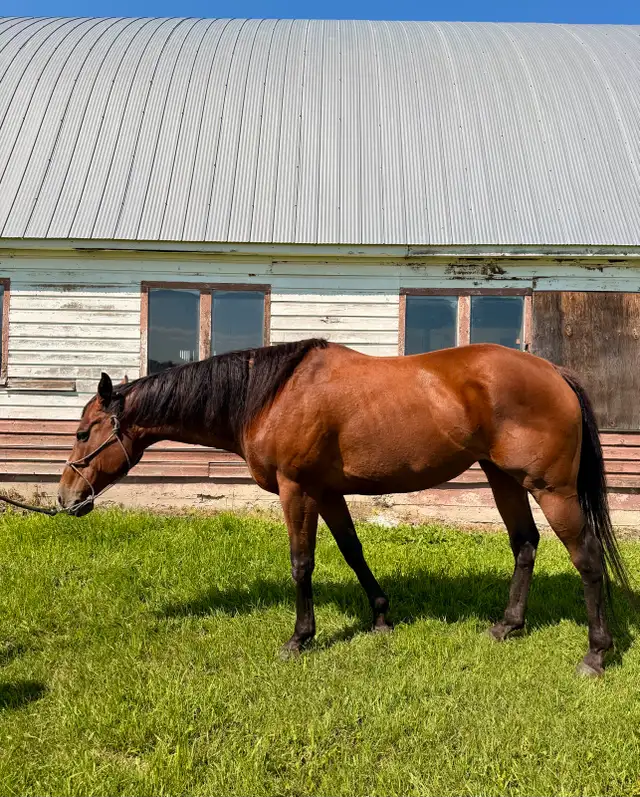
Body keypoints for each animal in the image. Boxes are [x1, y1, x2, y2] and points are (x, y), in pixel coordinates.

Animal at [58, 339, 631, 676]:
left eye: (84, 432)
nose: (65, 498)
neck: (272, 394)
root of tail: (555, 372)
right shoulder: (327, 492)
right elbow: (353, 551)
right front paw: (380, 617)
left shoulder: (297, 490)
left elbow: (302, 564)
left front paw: (299, 638)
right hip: (503, 479)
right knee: (524, 545)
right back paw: (507, 626)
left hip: (550, 488)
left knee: (586, 559)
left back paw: (596, 653)